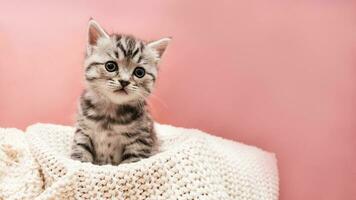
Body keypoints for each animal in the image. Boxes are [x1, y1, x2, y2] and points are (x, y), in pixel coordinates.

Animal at [70, 19, 170, 165]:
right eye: (110, 66)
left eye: (139, 72)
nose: (124, 81)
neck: (109, 113)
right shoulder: (83, 132)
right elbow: (80, 155)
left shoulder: (139, 143)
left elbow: (131, 164)